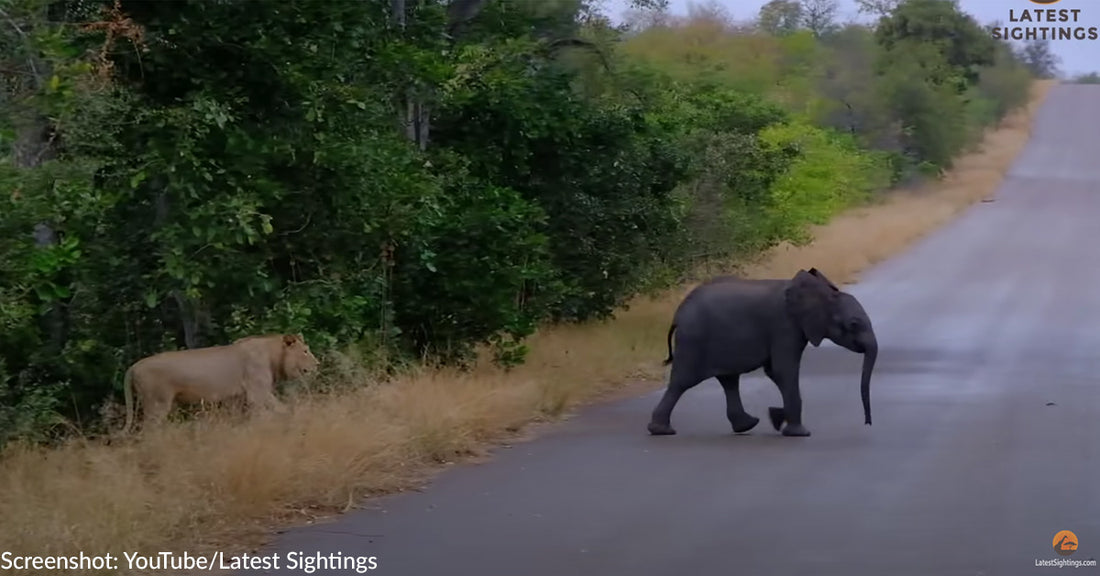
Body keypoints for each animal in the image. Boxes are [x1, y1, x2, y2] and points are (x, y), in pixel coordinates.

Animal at [121, 333, 320, 433]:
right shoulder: (258, 392)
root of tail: (133, 366)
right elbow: (281, 409)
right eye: (305, 351)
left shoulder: (235, 398)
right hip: (156, 404)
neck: (273, 355)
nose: (318, 364)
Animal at [646, 267, 877, 438]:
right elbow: (784, 371)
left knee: (729, 380)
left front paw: (777, 417)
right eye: (853, 324)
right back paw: (662, 431)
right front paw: (799, 433)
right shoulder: (785, 327)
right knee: (683, 382)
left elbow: (775, 372)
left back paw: (747, 425)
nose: (867, 423)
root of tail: (677, 315)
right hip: (694, 341)